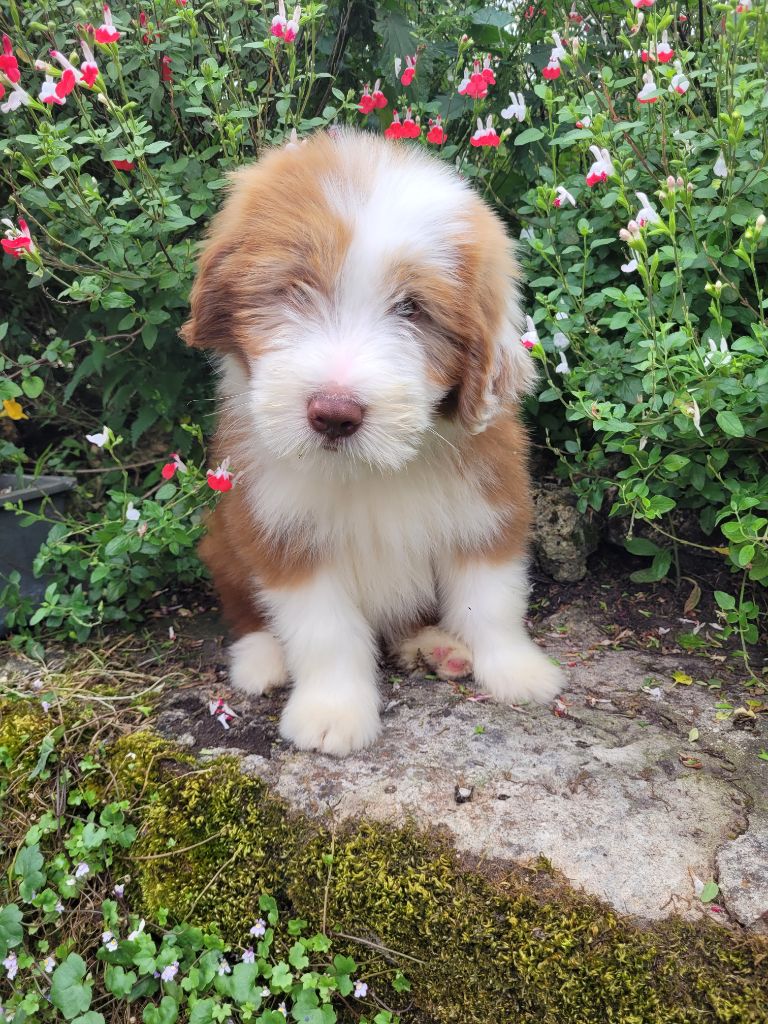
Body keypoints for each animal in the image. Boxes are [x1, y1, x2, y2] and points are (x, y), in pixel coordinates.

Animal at [182, 128, 561, 757]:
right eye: (297, 289)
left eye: (413, 309)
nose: (334, 413)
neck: (372, 470)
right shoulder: (282, 532)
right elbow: (325, 631)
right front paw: (332, 712)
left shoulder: (488, 507)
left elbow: (492, 598)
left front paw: (517, 670)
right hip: (223, 540)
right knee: (245, 610)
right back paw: (262, 660)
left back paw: (434, 646)